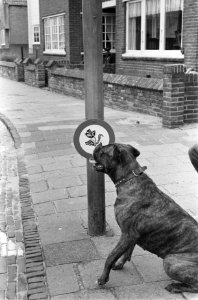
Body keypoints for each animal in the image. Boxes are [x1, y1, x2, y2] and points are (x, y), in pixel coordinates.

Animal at [93, 142, 198, 292]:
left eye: (103, 151)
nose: (97, 145)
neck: (129, 179)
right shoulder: (132, 236)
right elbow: (127, 252)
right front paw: (120, 264)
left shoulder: (127, 234)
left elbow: (110, 257)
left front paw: (103, 279)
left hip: (170, 261)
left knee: (195, 284)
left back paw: (175, 286)